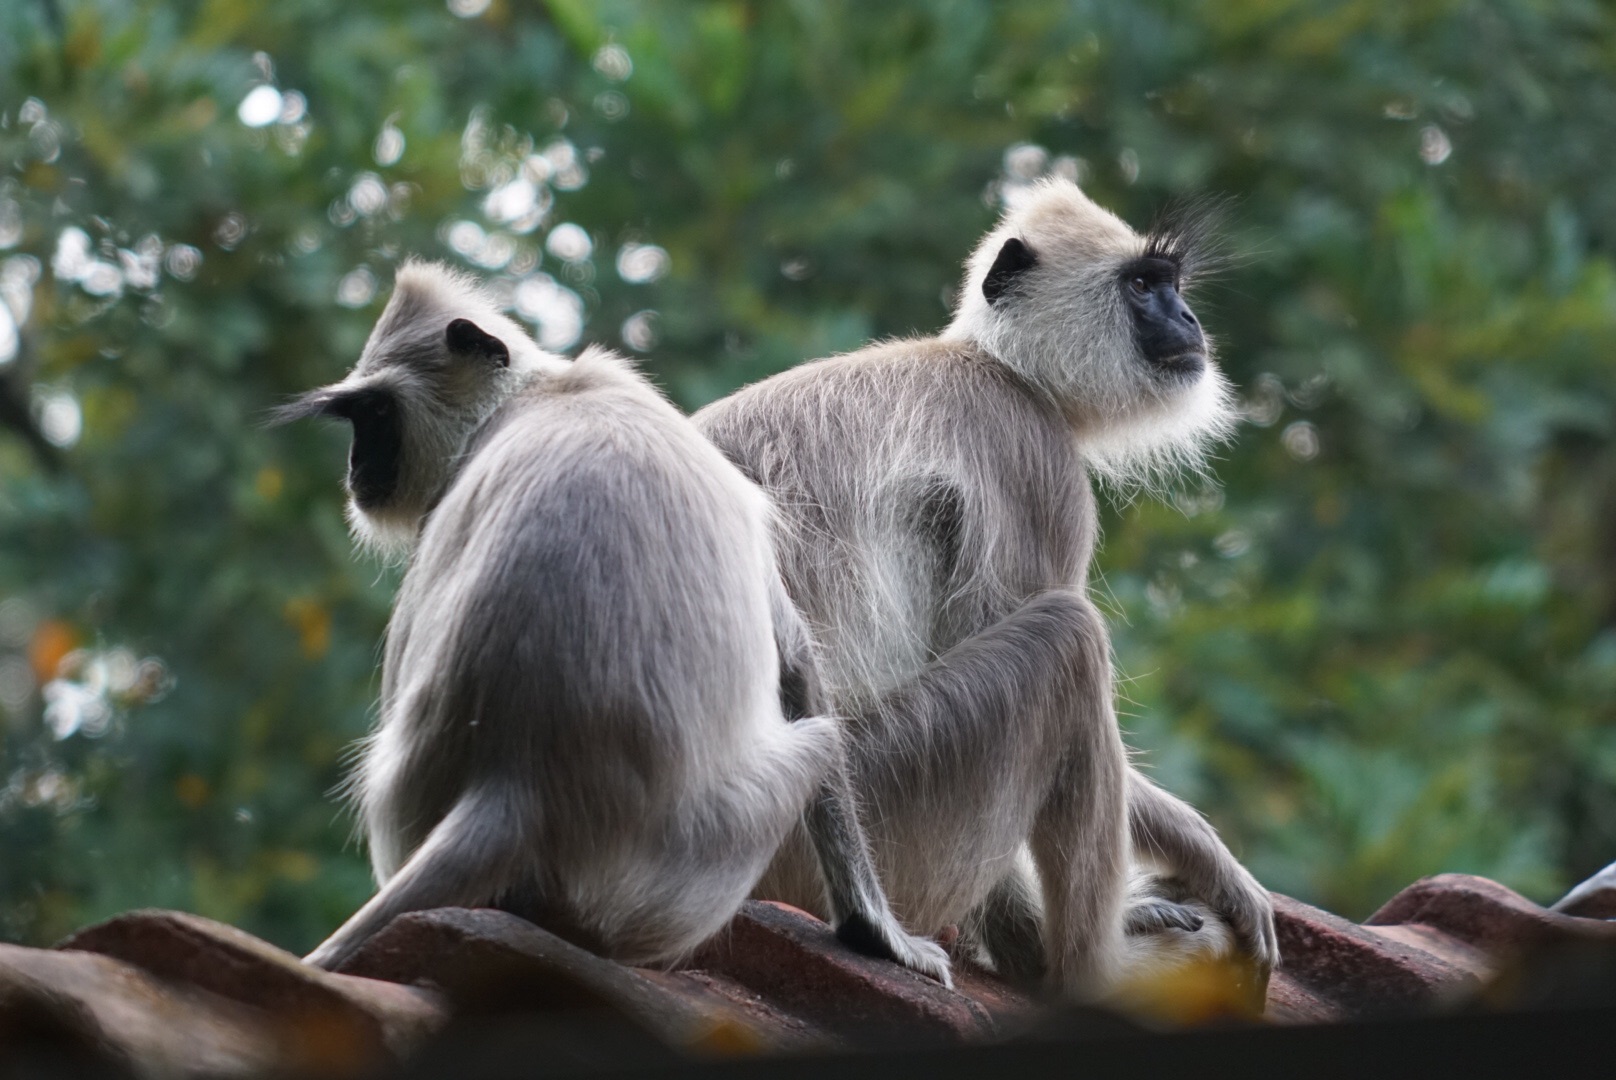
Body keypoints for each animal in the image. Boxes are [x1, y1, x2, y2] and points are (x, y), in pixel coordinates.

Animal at [281, 261, 943, 976]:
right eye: (358, 417)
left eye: (376, 414)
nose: (357, 467)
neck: (540, 393)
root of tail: (515, 783)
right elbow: (795, 659)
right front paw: (877, 930)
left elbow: (794, 656)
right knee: (819, 734)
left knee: (816, 736)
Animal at [701, 179, 1279, 1002]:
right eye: (1143, 287)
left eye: (1171, 285)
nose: (1188, 320)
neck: (999, 364)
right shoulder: (1032, 456)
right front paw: (1205, 859)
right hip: (884, 800)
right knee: (1069, 637)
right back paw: (1093, 970)